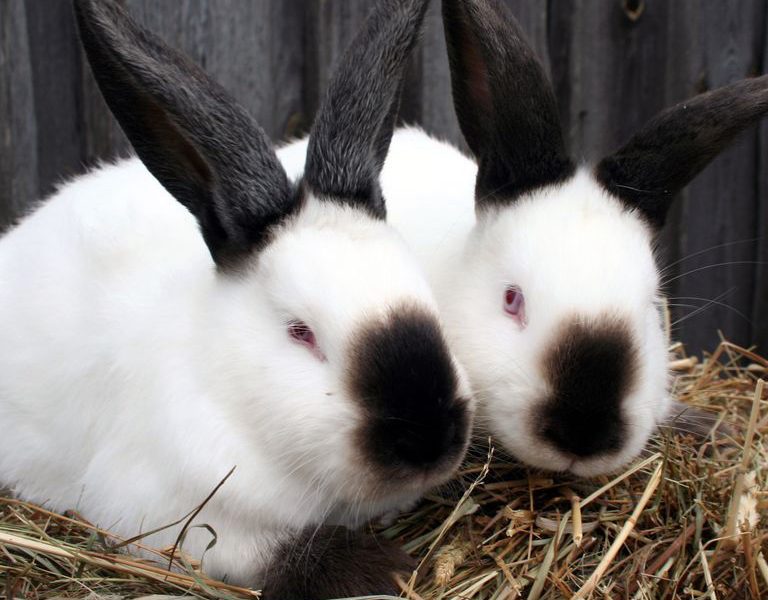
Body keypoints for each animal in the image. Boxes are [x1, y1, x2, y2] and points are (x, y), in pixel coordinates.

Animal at [0, 0, 474, 597]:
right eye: (300, 332)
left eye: (425, 294)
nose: (431, 437)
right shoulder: (172, 516)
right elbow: (275, 552)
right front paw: (383, 568)